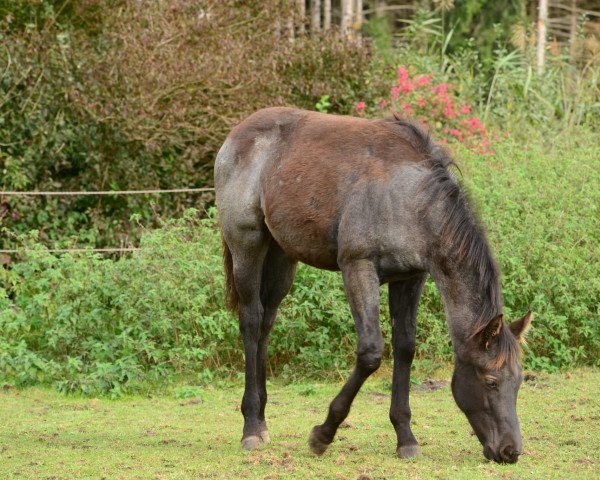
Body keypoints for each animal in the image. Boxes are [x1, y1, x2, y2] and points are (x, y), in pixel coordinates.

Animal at [213, 107, 532, 464]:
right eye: (490, 381)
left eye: (519, 381)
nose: (510, 450)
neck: (410, 198)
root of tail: (237, 133)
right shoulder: (358, 268)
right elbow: (370, 353)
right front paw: (323, 434)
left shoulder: (410, 277)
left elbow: (405, 348)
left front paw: (405, 437)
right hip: (247, 245)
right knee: (251, 321)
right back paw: (251, 427)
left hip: (282, 257)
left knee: (266, 323)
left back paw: (263, 419)